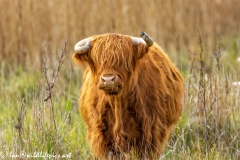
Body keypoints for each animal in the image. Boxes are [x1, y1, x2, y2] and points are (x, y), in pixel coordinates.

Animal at [73, 31, 184, 159]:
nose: (108, 80)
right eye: (96, 60)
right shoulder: (104, 137)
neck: (117, 103)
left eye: (123, 60)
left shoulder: (149, 135)